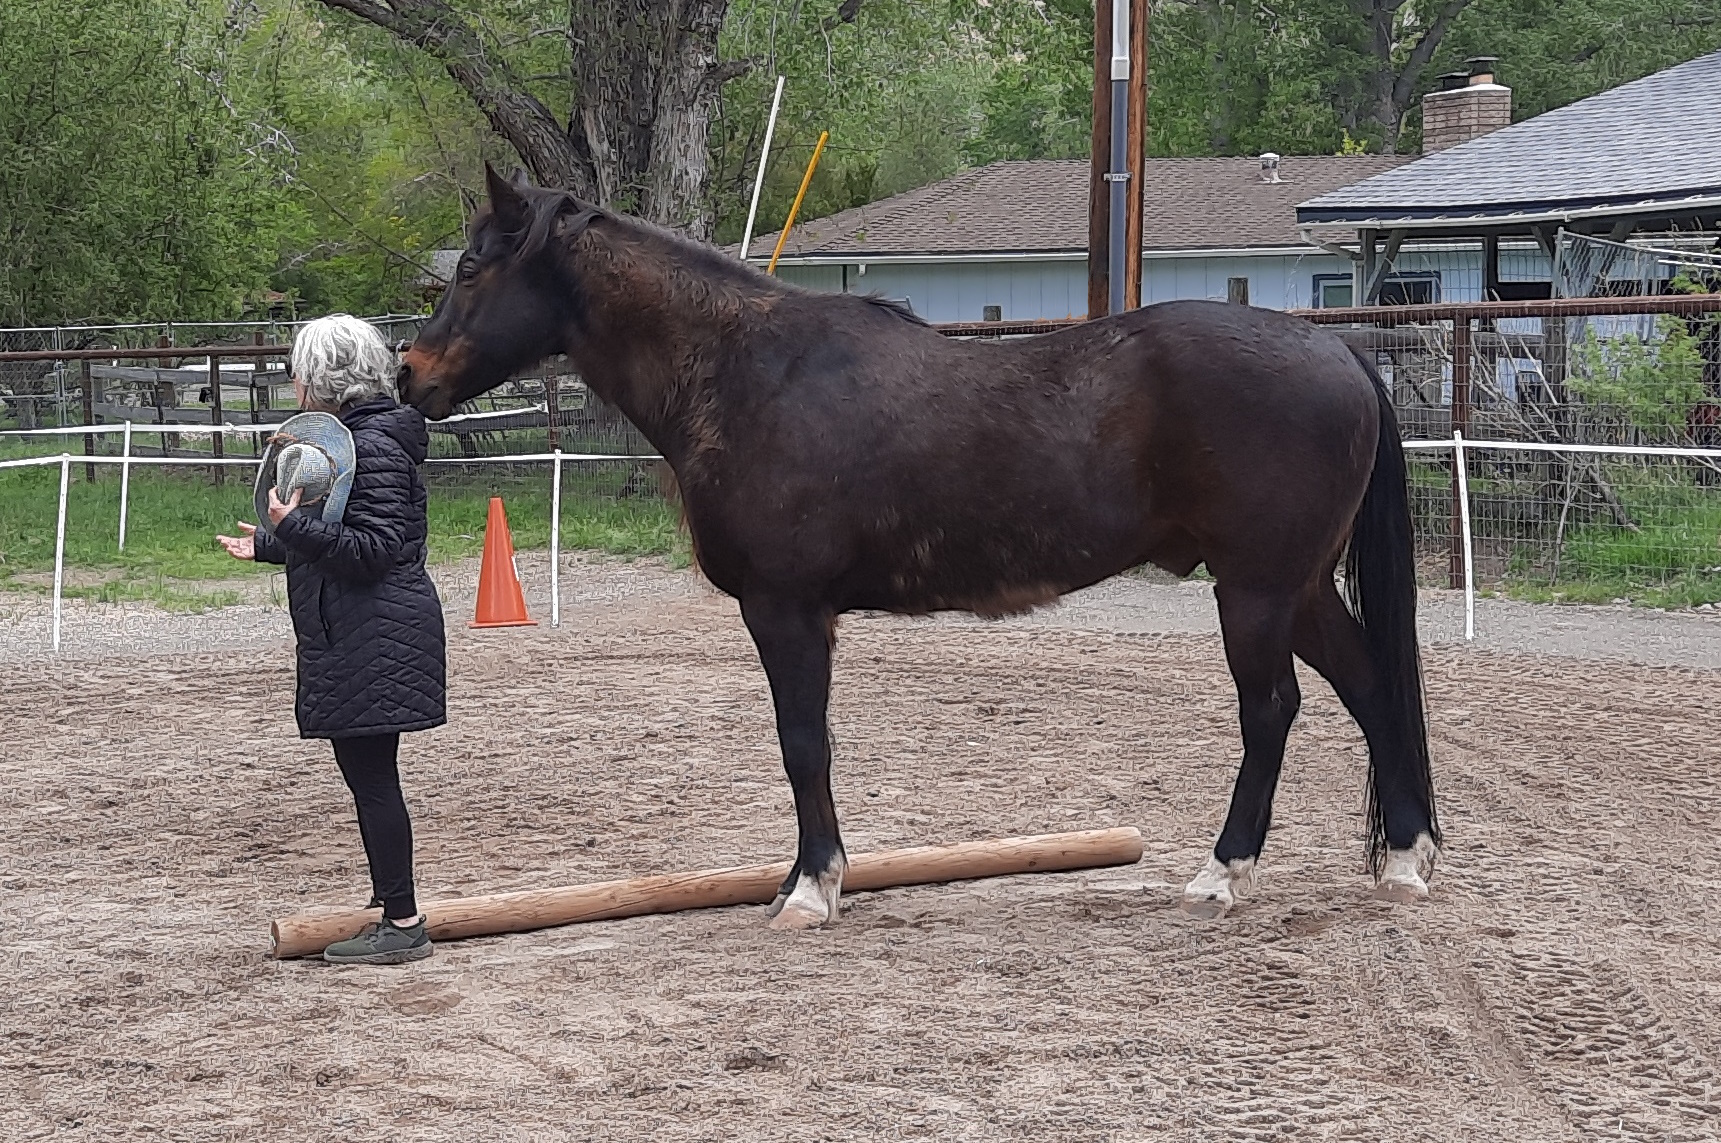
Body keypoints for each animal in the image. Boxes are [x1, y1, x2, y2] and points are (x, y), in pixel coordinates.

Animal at [400, 165, 1440, 928]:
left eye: (469, 271)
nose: (409, 375)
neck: (750, 371)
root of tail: (1338, 352)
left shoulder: (785, 609)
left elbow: (801, 742)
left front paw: (812, 887)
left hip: (1255, 591)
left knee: (1272, 711)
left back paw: (1225, 872)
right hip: (1297, 588)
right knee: (1370, 686)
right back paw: (1403, 859)